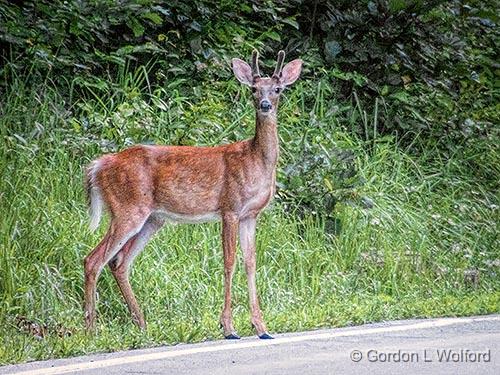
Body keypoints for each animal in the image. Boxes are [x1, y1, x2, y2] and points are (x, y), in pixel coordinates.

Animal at [84, 50, 302, 340]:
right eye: (254, 89)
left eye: (278, 89)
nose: (265, 104)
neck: (256, 160)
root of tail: (99, 165)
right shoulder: (230, 208)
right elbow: (229, 261)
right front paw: (228, 327)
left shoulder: (251, 215)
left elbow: (251, 262)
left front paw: (262, 327)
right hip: (127, 208)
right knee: (93, 260)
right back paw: (91, 327)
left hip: (152, 219)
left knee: (119, 262)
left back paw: (141, 324)